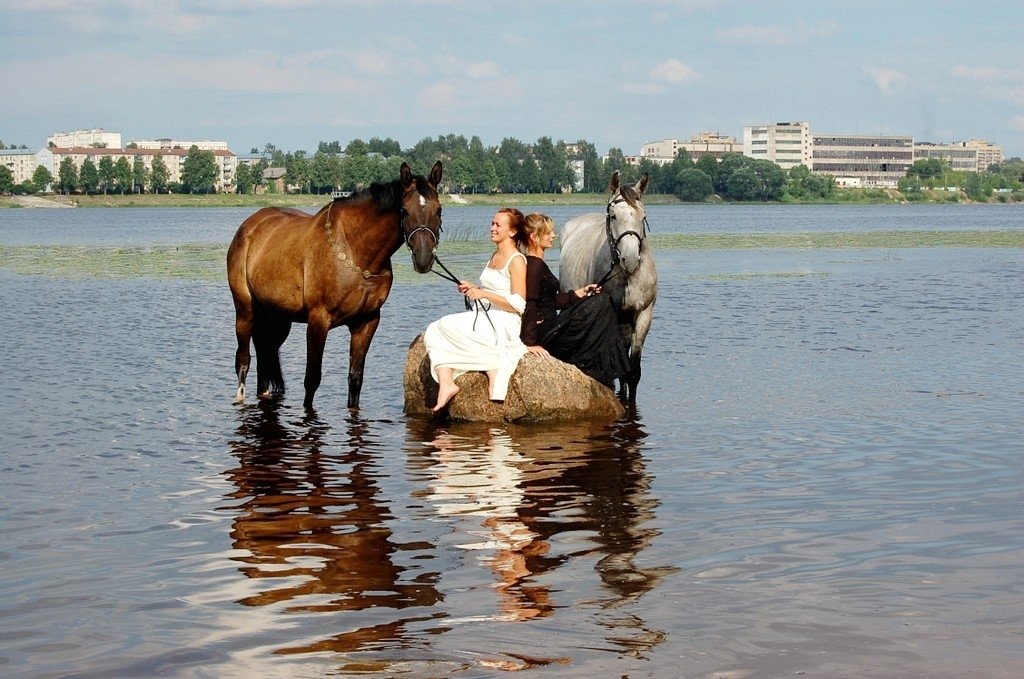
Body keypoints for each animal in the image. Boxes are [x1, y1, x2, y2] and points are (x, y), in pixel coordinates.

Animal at [229, 160, 444, 409]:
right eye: (404, 210)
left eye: (438, 210)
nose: (424, 257)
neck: (355, 251)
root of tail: (249, 226)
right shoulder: (318, 321)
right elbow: (312, 379)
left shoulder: (367, 322)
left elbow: (355, 378)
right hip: (245, 310)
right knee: (243, 359)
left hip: (278, 319)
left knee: (265, 357)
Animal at [561, 171, 655, 403]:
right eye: (613, 216)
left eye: (643, 217)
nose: (630, 260)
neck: (626, 277)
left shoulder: (643, 314)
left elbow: (633, 371)